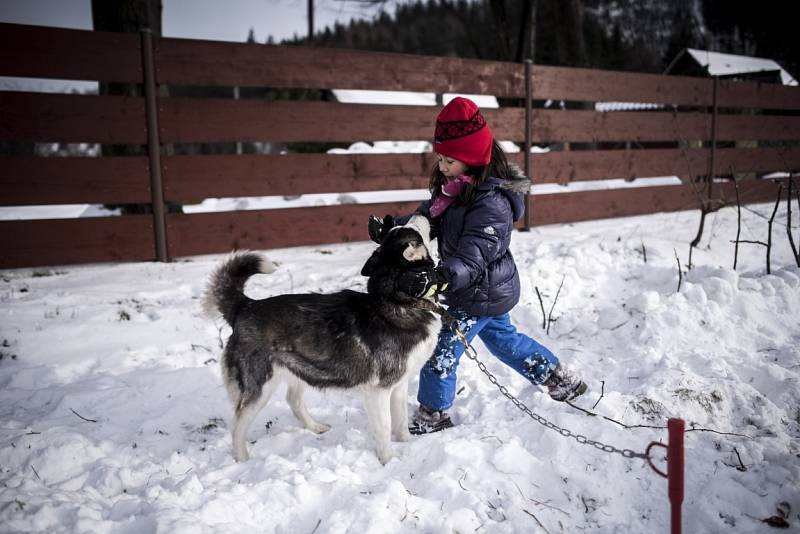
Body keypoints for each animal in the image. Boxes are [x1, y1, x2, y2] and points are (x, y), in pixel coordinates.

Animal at [205, 216, 444, 466]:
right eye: (413, 231)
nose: (422, 215)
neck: (399, 304)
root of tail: (245, 305)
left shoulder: (398, 385)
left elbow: (401, 420)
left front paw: (408, 445)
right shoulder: (378, 391)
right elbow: (385, 427)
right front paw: (388, 460)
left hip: (298, 369)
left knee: (293, 401)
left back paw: (315, 427)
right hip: (259, 387)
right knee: (238, 425)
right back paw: (243, 460)